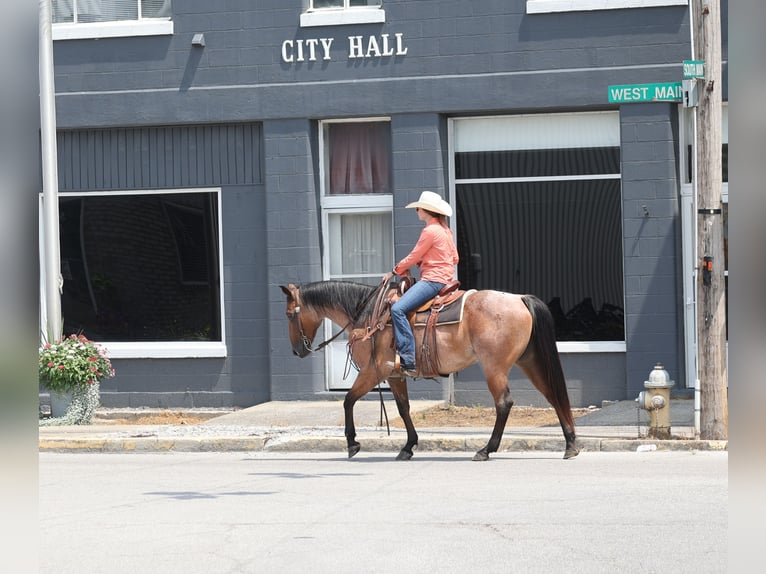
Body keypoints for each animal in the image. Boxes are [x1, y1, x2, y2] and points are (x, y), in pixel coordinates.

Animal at [280, 280, 579, 462]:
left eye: (290, 314)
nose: (296, 351)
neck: (368, 317)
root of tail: (519, 299)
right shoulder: (394, 374)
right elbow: (403, 409)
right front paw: (408, 446)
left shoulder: (375, 370)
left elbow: (348, 400)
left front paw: (352, 443)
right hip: (529, 361)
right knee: (553, 394)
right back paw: (570, 445)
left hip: (494, 367)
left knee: (504, 403)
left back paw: (486, 449)